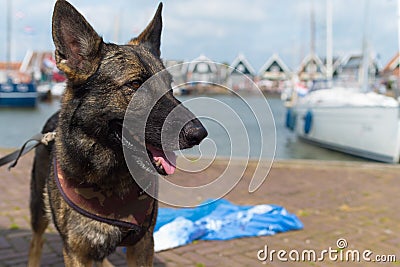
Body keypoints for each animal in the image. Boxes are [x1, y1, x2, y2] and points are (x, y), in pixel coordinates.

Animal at [28, 1, 208, 266]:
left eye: (169, 86)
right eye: (135, 85)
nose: (199, 134)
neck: (111, 179)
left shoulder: (143, 244)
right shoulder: (77, 252)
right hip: (38, 212)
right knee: (36, 244)